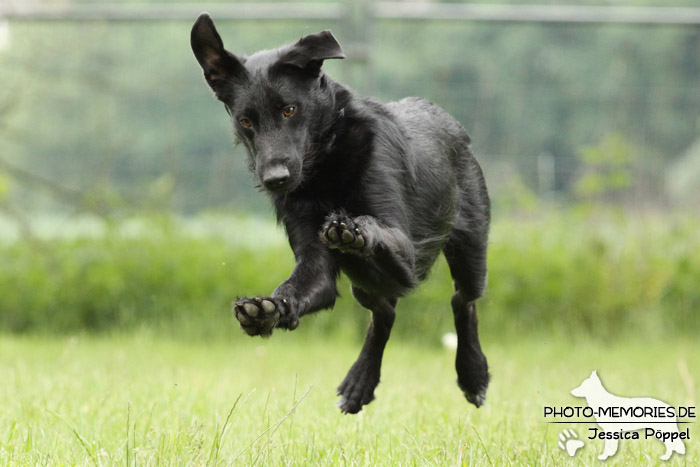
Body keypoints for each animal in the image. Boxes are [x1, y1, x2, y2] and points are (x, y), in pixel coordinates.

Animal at [189, 13, 490, 414]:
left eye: (289, 109)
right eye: (247, 121)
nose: (275, 180)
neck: (326, 166)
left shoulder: (409, 257)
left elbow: (372, 225)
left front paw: (352, 230)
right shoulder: (315, 265)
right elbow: (295, 289)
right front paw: (267, 310)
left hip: (470, 251)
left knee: (463, 301)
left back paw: (473, 375)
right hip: (366, 285)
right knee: (384, 313)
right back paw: (361, 381)